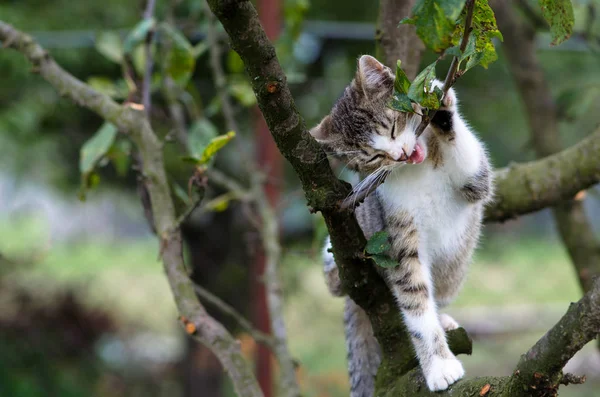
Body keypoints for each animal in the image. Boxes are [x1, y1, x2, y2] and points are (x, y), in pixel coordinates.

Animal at [314, 55, 492, 392]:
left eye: (393, 126)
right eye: (371, 156)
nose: (399, 154)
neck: (419, 170)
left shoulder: (476, 183)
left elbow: (474, 174)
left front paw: (441, 106)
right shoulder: (395, 235)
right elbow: (415, 301)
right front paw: (439, 367)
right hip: (335, 259)